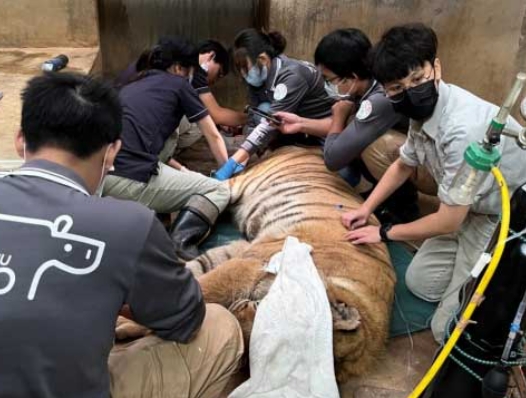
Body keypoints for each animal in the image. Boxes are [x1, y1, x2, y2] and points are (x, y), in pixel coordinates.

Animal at [188, 145, 398, 380]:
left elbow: (201, 269)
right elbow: (206, 287)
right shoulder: (250, 263)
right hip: (240, 184)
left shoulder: (244, 252)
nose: (236, 310)